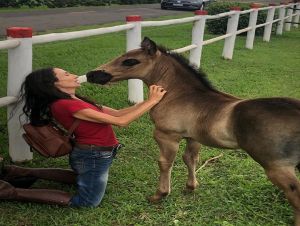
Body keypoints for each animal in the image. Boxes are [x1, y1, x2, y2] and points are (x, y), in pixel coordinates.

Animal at [84, 37, 300, 224]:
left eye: (130, 61)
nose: (92, 74)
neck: (178, 94)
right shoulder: (194, 137)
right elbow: (190, 159)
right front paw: (190, 187)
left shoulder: (167, 136)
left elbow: (165, 163)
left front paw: (159, 194)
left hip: (277, 167)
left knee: (295, 195)